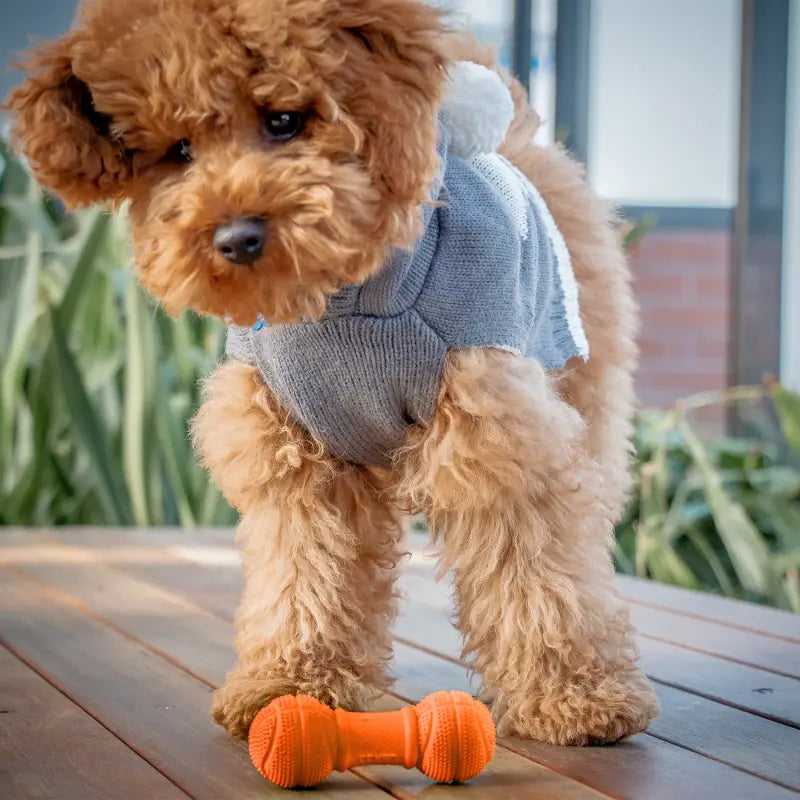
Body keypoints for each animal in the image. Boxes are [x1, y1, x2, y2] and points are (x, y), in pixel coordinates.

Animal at [6, 0, 660, 744]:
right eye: (178, 152)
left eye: (284, 120)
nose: (235, 238)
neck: (345, 301)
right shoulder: (295, 458)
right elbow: (305, 573)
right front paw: (290, 683)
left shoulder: (497, 438)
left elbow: (535, 566)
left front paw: (575, 695)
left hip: (585, 384)